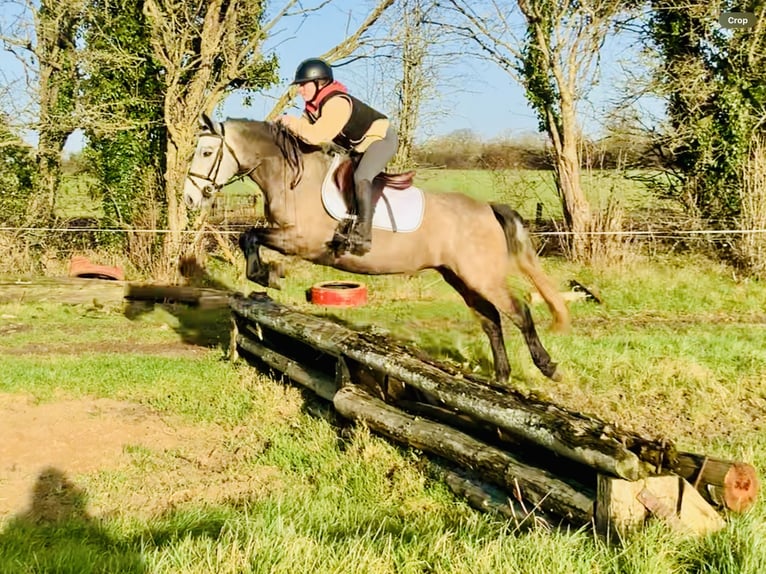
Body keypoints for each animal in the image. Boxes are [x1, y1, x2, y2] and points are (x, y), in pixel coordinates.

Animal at [184, 113, 568, 384]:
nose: (189, 198)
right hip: (459, 276)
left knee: (519, 311)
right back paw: (502, 376)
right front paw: (267, 274)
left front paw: (269, 275)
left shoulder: (302, 240)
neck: (292, 176)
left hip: (480, 274)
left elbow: (250, 236)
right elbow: (247, 236)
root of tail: (487, 208)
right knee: (491, 319)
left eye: (206, 152)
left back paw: (548, 367)